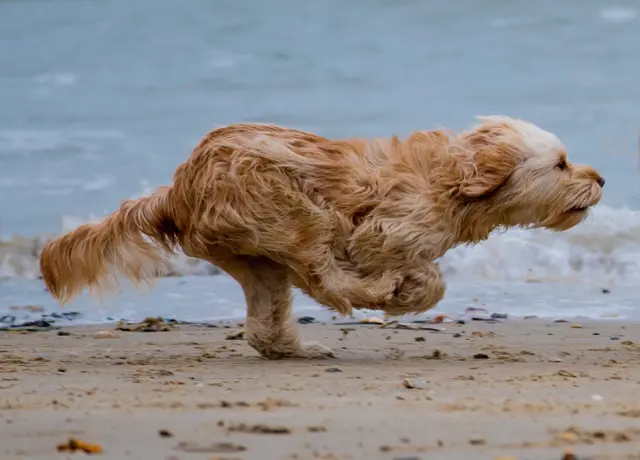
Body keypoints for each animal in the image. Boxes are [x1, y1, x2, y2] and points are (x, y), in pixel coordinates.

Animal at [37, 116, 604, 360]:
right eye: (561, 163)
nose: (600, 177)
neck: (452, 182)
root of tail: (177, 190)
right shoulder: (382, 230)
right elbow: (417, 272)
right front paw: (400, 292)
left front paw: (407, 290)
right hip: (293, 213)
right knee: (321, 276)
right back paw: (371, 293)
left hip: (253, 257)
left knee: (263, 326)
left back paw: (297, 348)